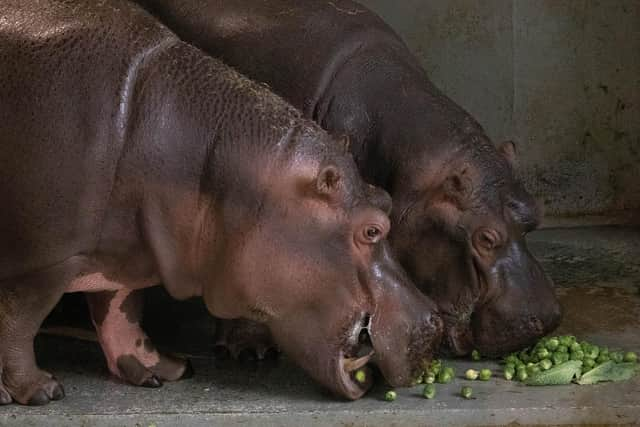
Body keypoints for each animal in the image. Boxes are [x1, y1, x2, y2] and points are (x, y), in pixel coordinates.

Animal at [0, 0, 444, 404]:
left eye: (385, 196)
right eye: (372, 229)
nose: (435, 320)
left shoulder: (125, 254)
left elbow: (122, 310)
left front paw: (165, 371)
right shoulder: (46, 263)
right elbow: (19, 321)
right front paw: (40, 391)